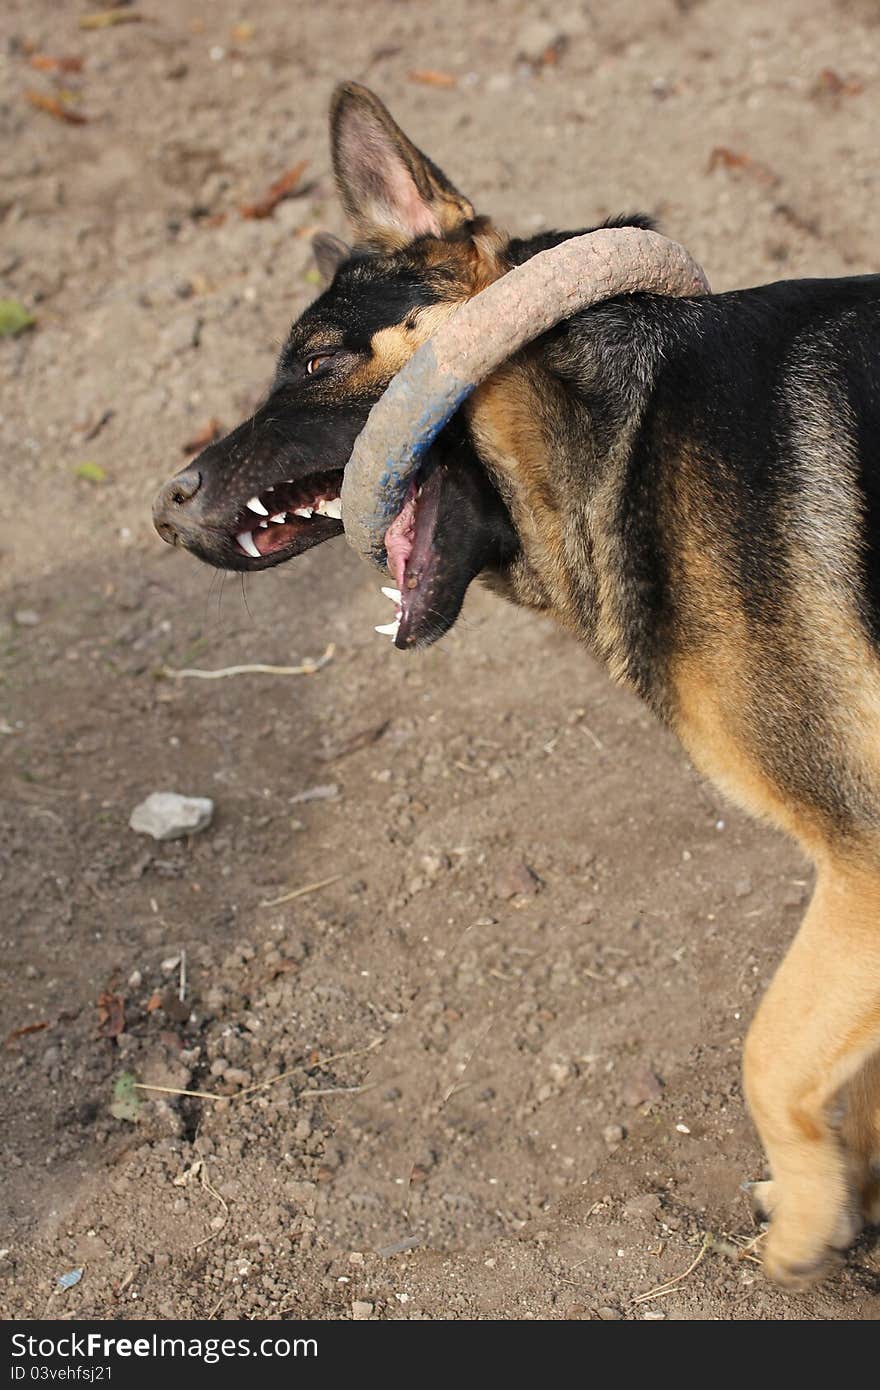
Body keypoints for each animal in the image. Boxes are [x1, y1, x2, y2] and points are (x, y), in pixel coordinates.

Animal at [154, 84, 878, 1278]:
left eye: (315, 362)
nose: (168, 505)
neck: (621, 415)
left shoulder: (862, 856)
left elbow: (768, 1053)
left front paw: (810, 1222)